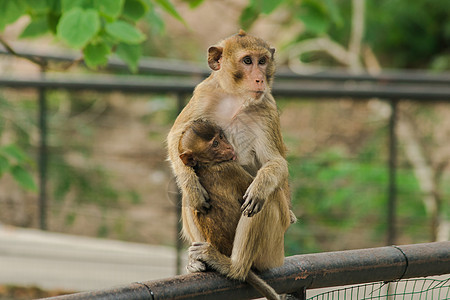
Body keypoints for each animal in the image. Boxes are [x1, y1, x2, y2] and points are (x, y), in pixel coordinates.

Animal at [167, 28, 290, 278]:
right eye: (247, 61)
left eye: (262, 61)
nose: (259, 78)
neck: (236, 97)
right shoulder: (204, 93)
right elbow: (175, 137)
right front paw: (191, 186)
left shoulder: (267, 108)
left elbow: (276, 162)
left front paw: (260, 186)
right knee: (188, 196)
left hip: (273, 250)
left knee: (267, 198)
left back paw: (234, 267)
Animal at [178, 119, 290, 300]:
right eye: (215, 144)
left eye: (221, 137)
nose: (229, 147)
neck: (204, 166)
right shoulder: (230, 168)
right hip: (270, 254)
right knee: (268, 198)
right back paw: (235, 269)